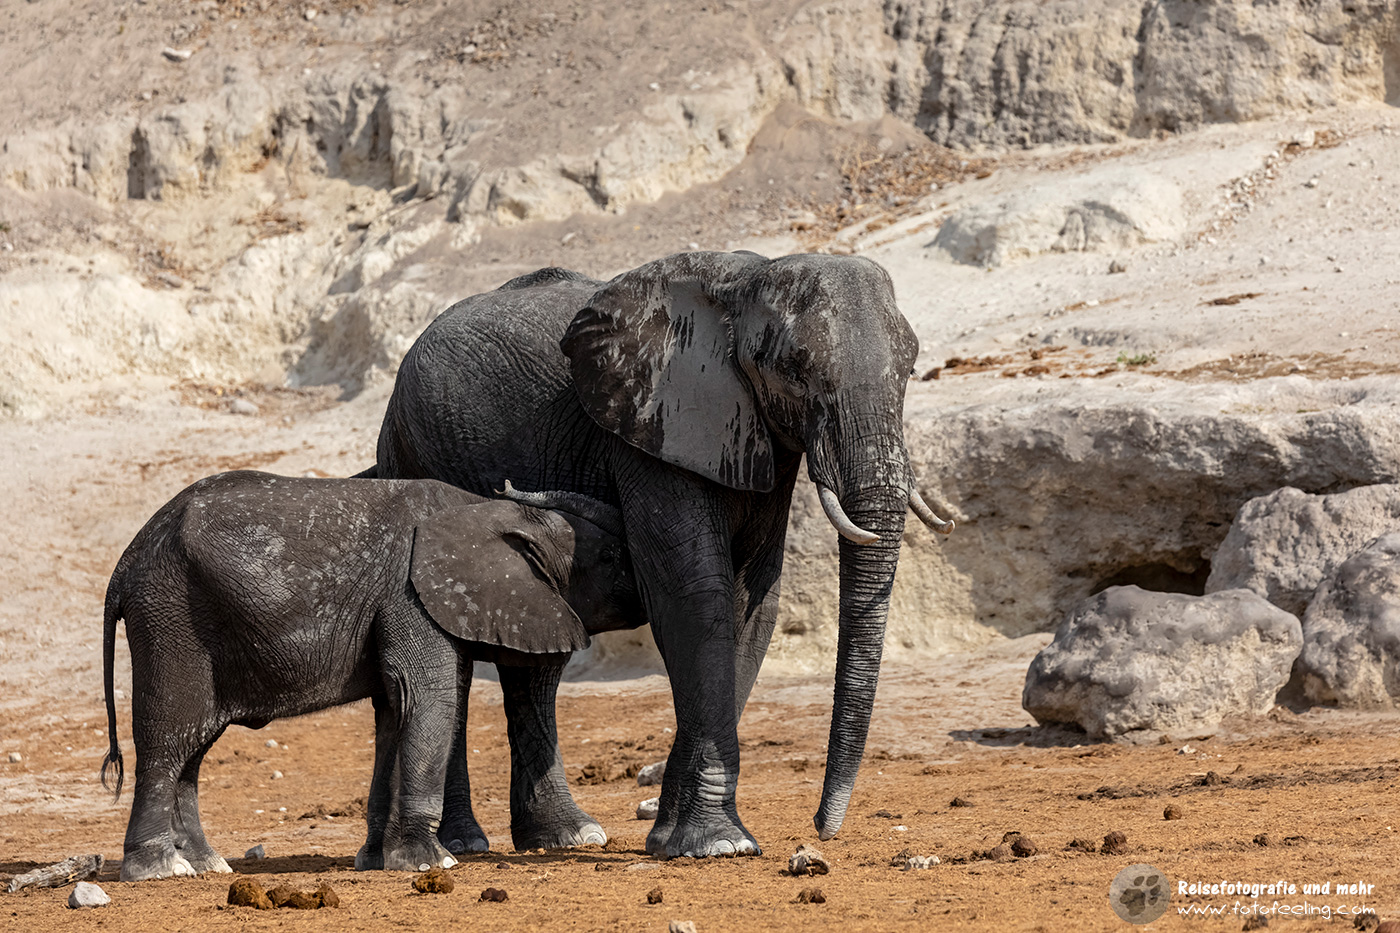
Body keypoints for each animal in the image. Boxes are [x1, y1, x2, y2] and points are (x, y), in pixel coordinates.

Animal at [100, 470, 639, 880]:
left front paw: (377, 860)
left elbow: (393, 713)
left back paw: (206, 864)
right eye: (609, 558)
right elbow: (431, 699)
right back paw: (159, 870)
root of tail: (125, 562)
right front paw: (429, 863)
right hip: (172, 619)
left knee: (194, 747)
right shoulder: (412, 598)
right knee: (172, 737)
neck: (484, 509)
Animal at [366, 250, 953, 858]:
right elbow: (694, 594)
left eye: (910, 367)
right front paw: (719, 845)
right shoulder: (652, 431)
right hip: (409, 451)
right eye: (793, 367)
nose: (821, 828)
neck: (746, 283)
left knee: (538, 664)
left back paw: (564, 836)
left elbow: (750, 603)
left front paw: (675, 838)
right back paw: (464, 845)